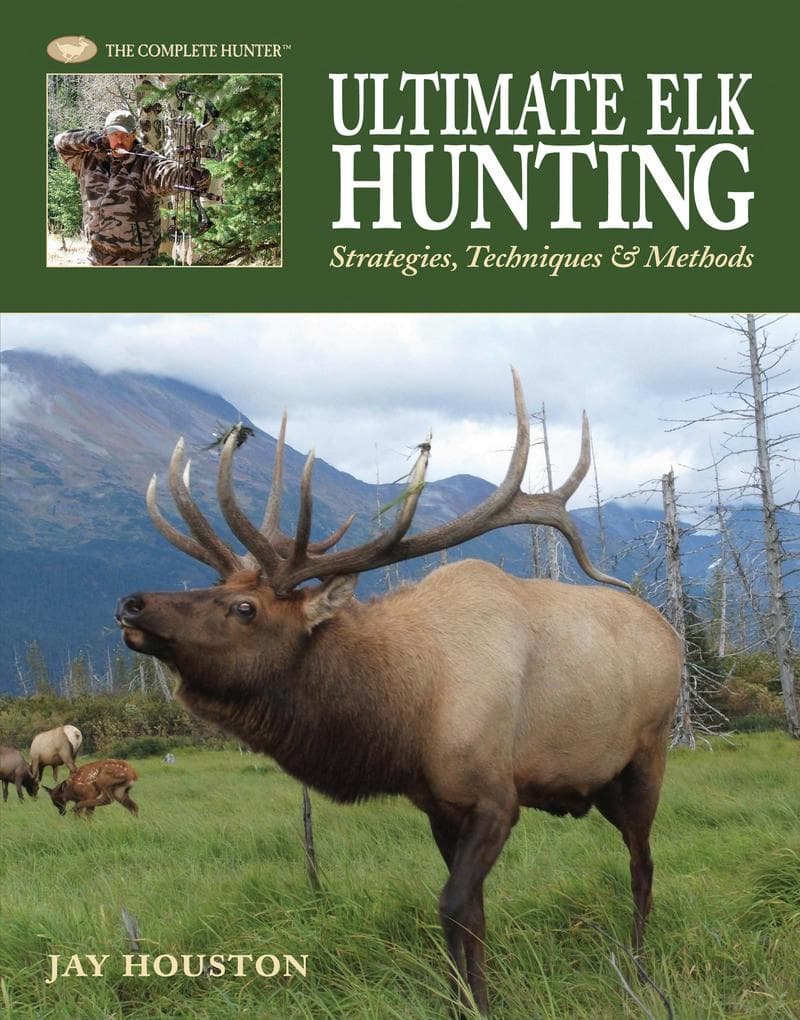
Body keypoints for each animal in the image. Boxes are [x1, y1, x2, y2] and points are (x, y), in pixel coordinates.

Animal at [115, 369, 682, 1016]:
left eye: (244, 607)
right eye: (216, 584)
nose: (132, 603)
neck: (408, 712)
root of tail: (671, 636)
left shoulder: (496, 797)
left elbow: (453, 906)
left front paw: (480, 1002)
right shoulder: (436, 805)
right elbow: (471, 916)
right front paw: (466, 997)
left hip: (646, 758)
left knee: (643, 865)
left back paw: (640, 971)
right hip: (602, 785)